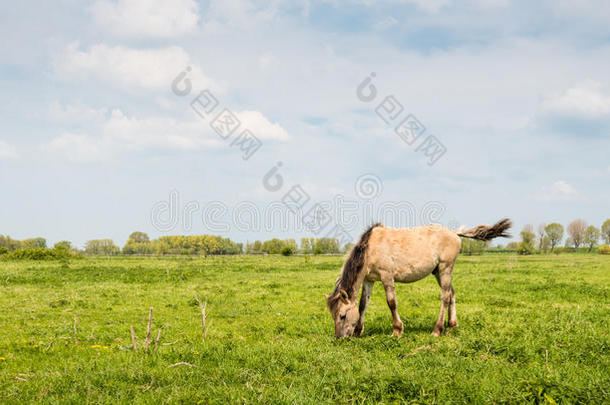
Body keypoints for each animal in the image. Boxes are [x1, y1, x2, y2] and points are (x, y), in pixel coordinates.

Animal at [326, 219, 510, 336]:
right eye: (334, 316)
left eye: (342, 316)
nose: (340, 338)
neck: (371, 248)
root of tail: (454, 233)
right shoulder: (369, 280)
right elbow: (363, 304)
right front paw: (359, 331)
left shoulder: (387, 277)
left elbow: (391, 302)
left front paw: (397, 330)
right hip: (438, 272)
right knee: (452, 293)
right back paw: (452, 325)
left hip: (445, 268)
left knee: (445, 296)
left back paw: (437, 330)